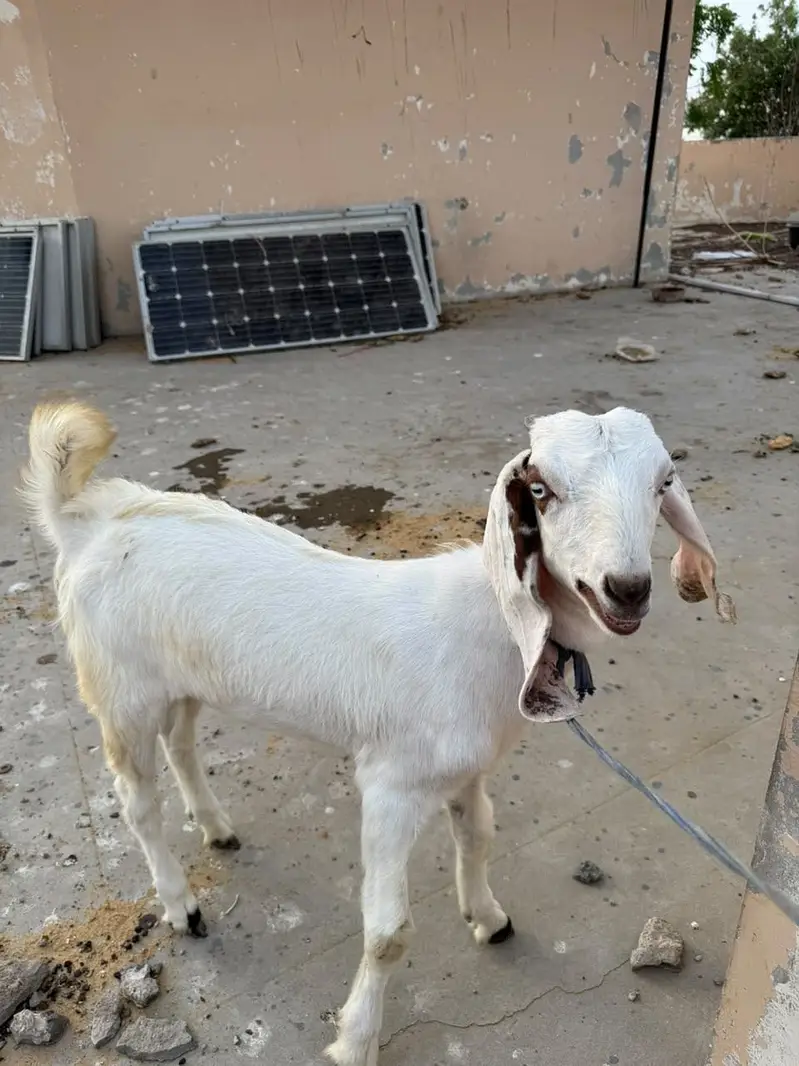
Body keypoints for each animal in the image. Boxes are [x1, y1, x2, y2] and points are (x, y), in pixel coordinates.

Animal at [22, 401, 734, 1066]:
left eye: (664, 482)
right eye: (541, 490)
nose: (628, 589)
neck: (491, 626)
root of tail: (87, 518)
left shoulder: (466, 770)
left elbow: (478, 838)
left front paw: (487, 918)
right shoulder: (392, 785)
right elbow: (389, 934)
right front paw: (355, 1041)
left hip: (180, 679)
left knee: (182, 743)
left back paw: (216, 826)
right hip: (120, 689)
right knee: (137, 801)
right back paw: (182, 905)